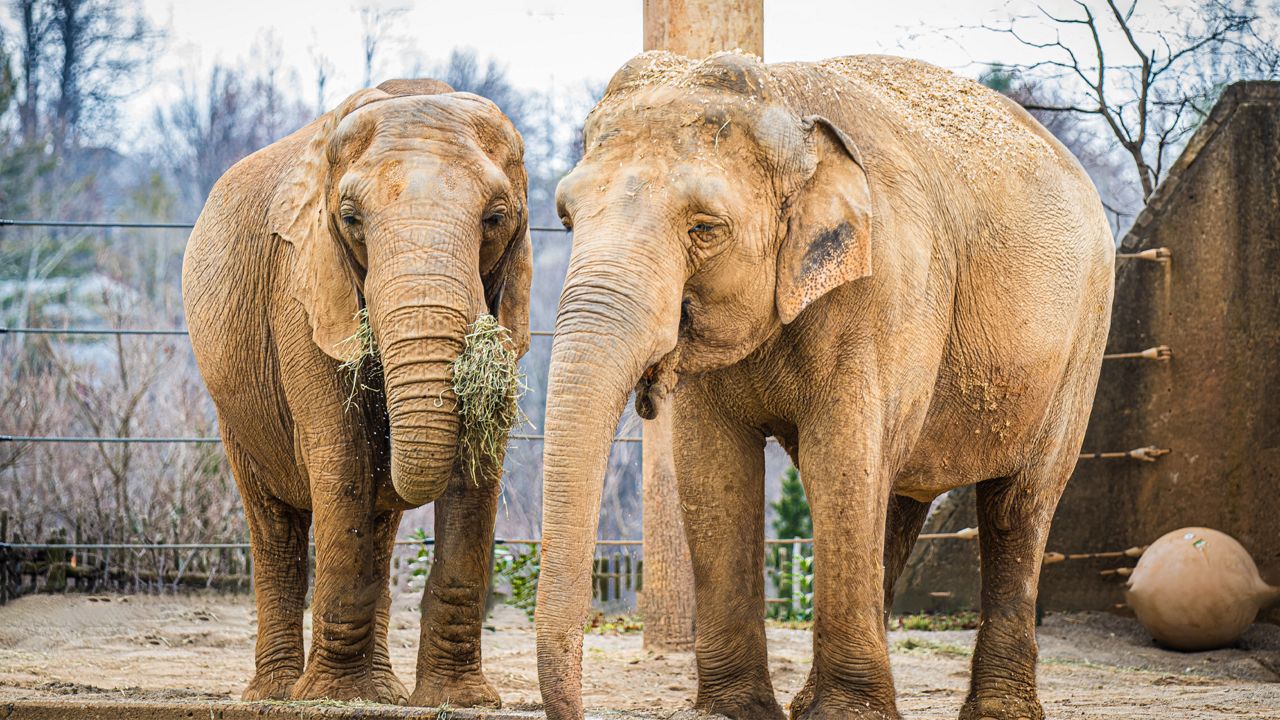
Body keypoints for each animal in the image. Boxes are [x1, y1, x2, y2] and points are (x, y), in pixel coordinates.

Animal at [181, 77, 529, 702]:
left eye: (495, 218)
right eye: (350, 218)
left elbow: (477, 469)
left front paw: (459, 701)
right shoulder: (299, 285)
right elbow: (341, 458)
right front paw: (330, 697)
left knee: (380, 528)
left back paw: (383, 691)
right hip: (233, 409)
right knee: (275, 529)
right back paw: (277, 693)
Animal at [535, 51, 1116, 717]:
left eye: (706, 228)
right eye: (566, 218)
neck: (788, 101)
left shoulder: (883, 291)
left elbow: (838, 459)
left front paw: (847, 714)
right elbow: (711, 468)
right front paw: (733, 712)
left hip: (1080, 346)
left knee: (1018, 505)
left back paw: (997, 711)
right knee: (894, 499)